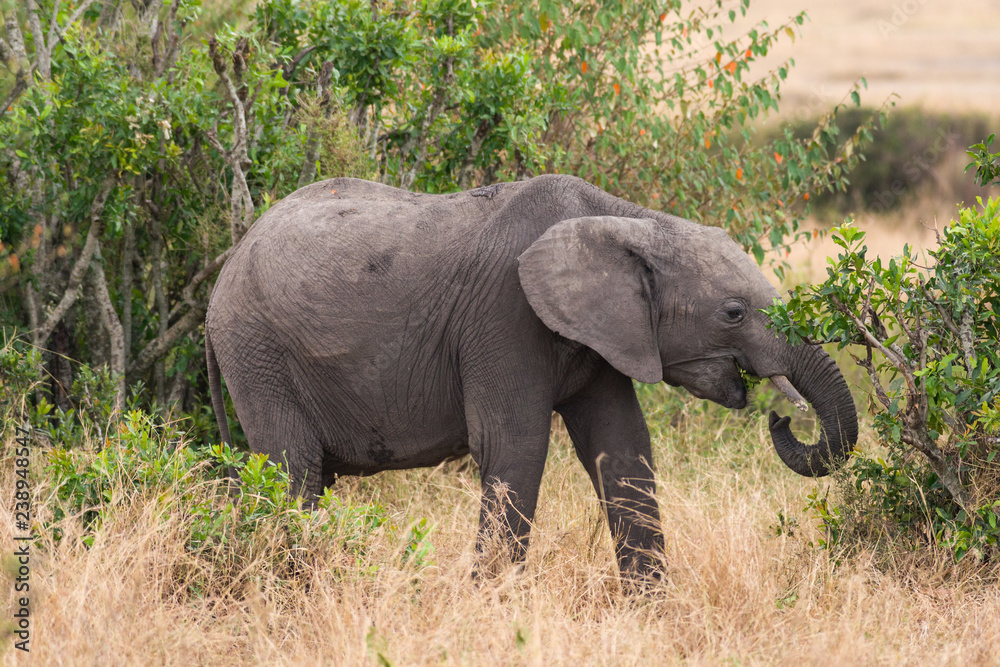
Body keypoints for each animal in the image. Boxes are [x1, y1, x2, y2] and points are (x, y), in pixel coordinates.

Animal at [205, 175, 860, 580]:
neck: (628, 219)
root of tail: (223, 272)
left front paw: (653, 615)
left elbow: (622, 447)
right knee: (294, 471)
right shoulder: (504, 317)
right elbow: (514, 445)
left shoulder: (603, 334)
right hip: (258, 354)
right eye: (734, 312)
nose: (780, 416)